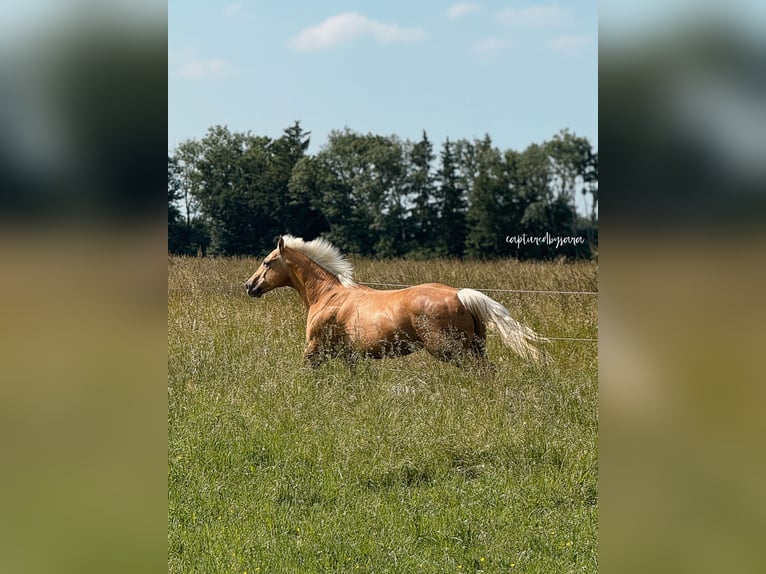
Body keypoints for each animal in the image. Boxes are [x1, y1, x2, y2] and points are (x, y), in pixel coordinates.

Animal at [244, 235, 547, 368]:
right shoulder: (350, 357)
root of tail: (459, 294)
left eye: (267, 262)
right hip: (475, 347)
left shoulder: (314, 349)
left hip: (452, 351)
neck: (328, 296)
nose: (249, 286)